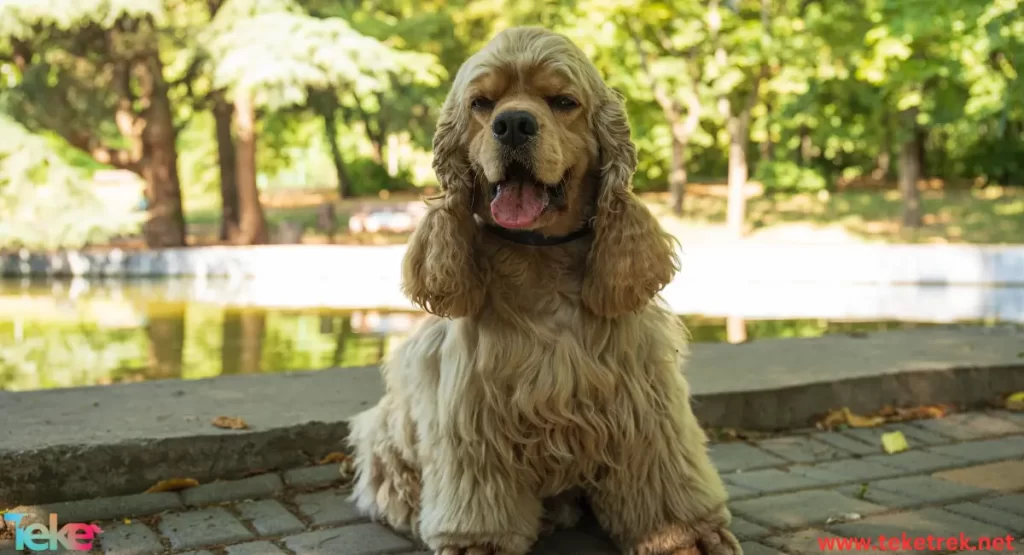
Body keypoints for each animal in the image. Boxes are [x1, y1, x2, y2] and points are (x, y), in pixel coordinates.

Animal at [348, 28, 741, 555]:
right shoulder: (474, 411)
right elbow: (478, 493)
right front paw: (476, 543)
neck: (543, 262)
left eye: (563, 101)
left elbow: (664, 471)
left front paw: (687, 535)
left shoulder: (645, 397)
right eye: (481, 103)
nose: (513, 124)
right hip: (385, 426)